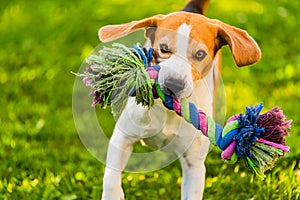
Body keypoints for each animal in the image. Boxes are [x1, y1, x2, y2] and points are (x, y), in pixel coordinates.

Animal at [98, 0, 260, 199]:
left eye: (199, 54)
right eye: (164, 49)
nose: (173, 84)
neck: (168, 110)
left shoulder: (194, 164)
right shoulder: (123, 137)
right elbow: (111, 178)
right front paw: (113, 193)